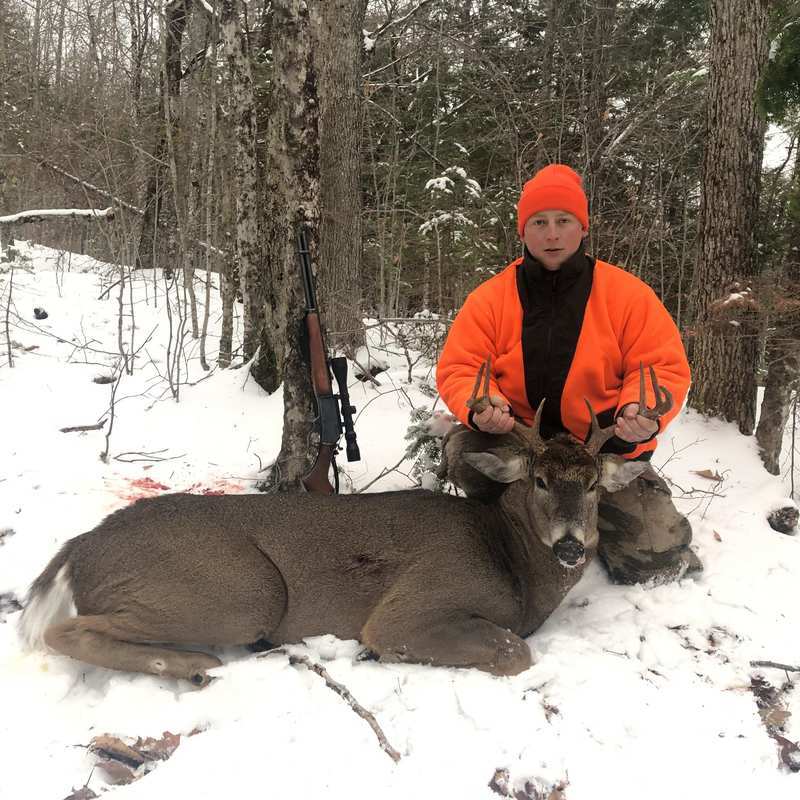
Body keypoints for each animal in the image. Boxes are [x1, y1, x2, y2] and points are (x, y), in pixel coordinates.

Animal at [18, 361, 672, 687]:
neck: (512, 563)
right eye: (538, 481)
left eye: (593, 486)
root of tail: (79, 549)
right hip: (244, 590)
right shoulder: (413, 605)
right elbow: (514, 650)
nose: (570, 545)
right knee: (63, 632)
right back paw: (195, 666)